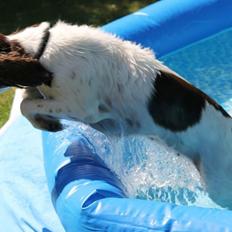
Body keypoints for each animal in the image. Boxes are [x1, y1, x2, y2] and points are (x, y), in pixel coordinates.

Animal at [0, 20, 232, 208]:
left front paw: (46, 123)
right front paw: (46, 122)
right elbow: (27, 100)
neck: (41, 47)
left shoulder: (82, 107)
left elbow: (26, 106)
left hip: (218, 184)